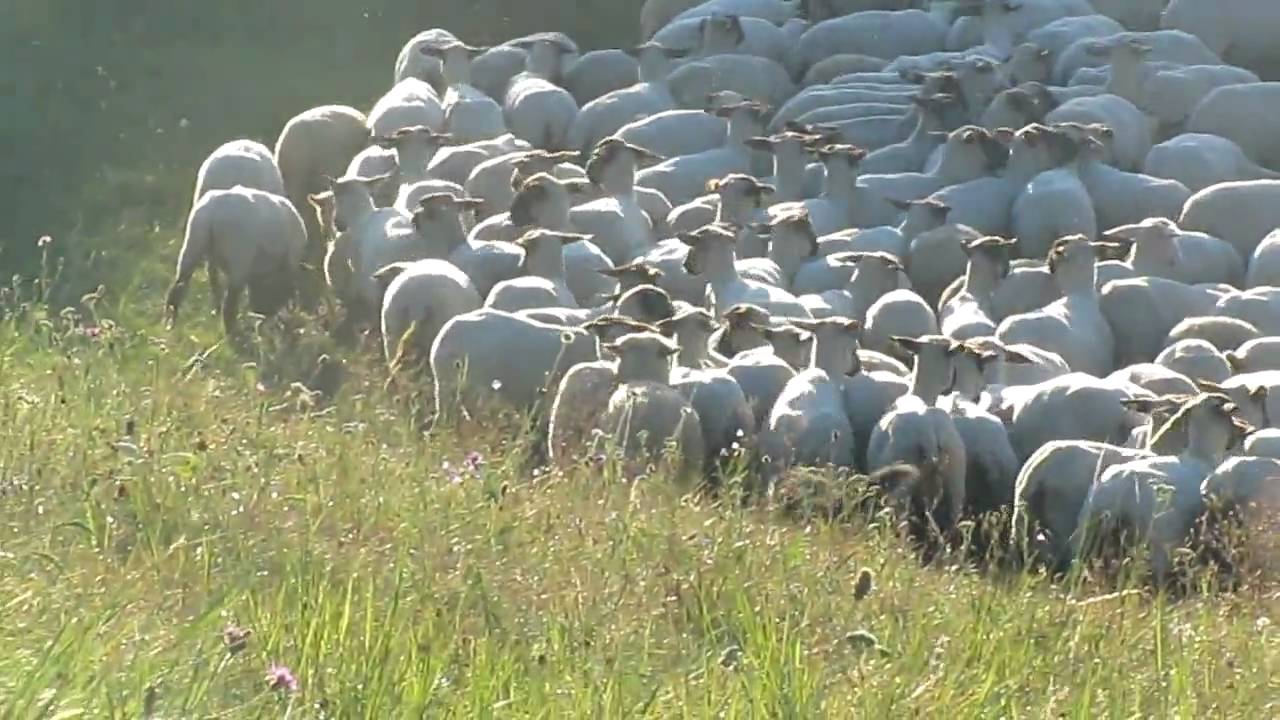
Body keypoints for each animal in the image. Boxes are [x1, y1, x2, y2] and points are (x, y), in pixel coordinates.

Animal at [165, 187, 306, 337]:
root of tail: (212, 212)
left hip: (193, 244)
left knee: (177, 288)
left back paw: (170, 324)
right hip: (239, 257)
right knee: (229, 304)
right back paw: (232, 333)